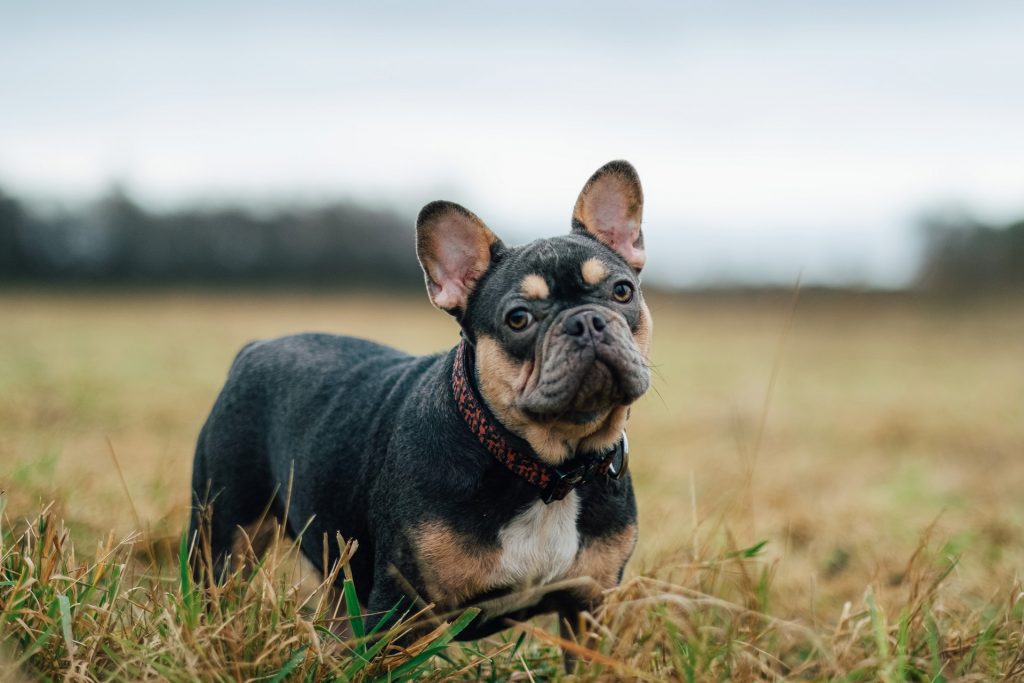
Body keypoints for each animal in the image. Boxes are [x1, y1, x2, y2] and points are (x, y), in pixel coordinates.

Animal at [189, 158, 651, 647]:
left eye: (623, 291)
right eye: (518, 318)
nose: (587, 320)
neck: (548, 471)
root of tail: (255, 348)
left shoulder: (587, 609)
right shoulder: (398, 610)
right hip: (225, 529)